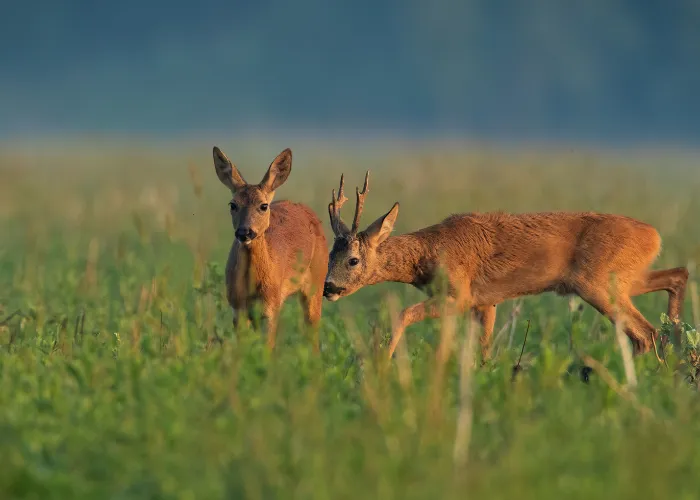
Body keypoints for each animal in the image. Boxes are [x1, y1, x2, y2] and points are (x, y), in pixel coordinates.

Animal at [212, 146, 330, 352]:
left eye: (263, 205)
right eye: (233, 204)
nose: (244, 232)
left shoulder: (270, 306)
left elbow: (267, 348)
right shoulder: (237, 307)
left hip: (316, 283)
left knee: (313, 333)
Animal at [322, 171, 688, 360]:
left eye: (353, 259)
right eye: (329, 256)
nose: (328, 288)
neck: (429, 253)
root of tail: (654, 236)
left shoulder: (461, 294)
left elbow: (404, 313)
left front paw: (382, 363)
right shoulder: (486, 302)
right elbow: (483, 347)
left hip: (598, 282)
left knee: (646, 333)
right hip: (626, 278)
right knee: (677, 277)